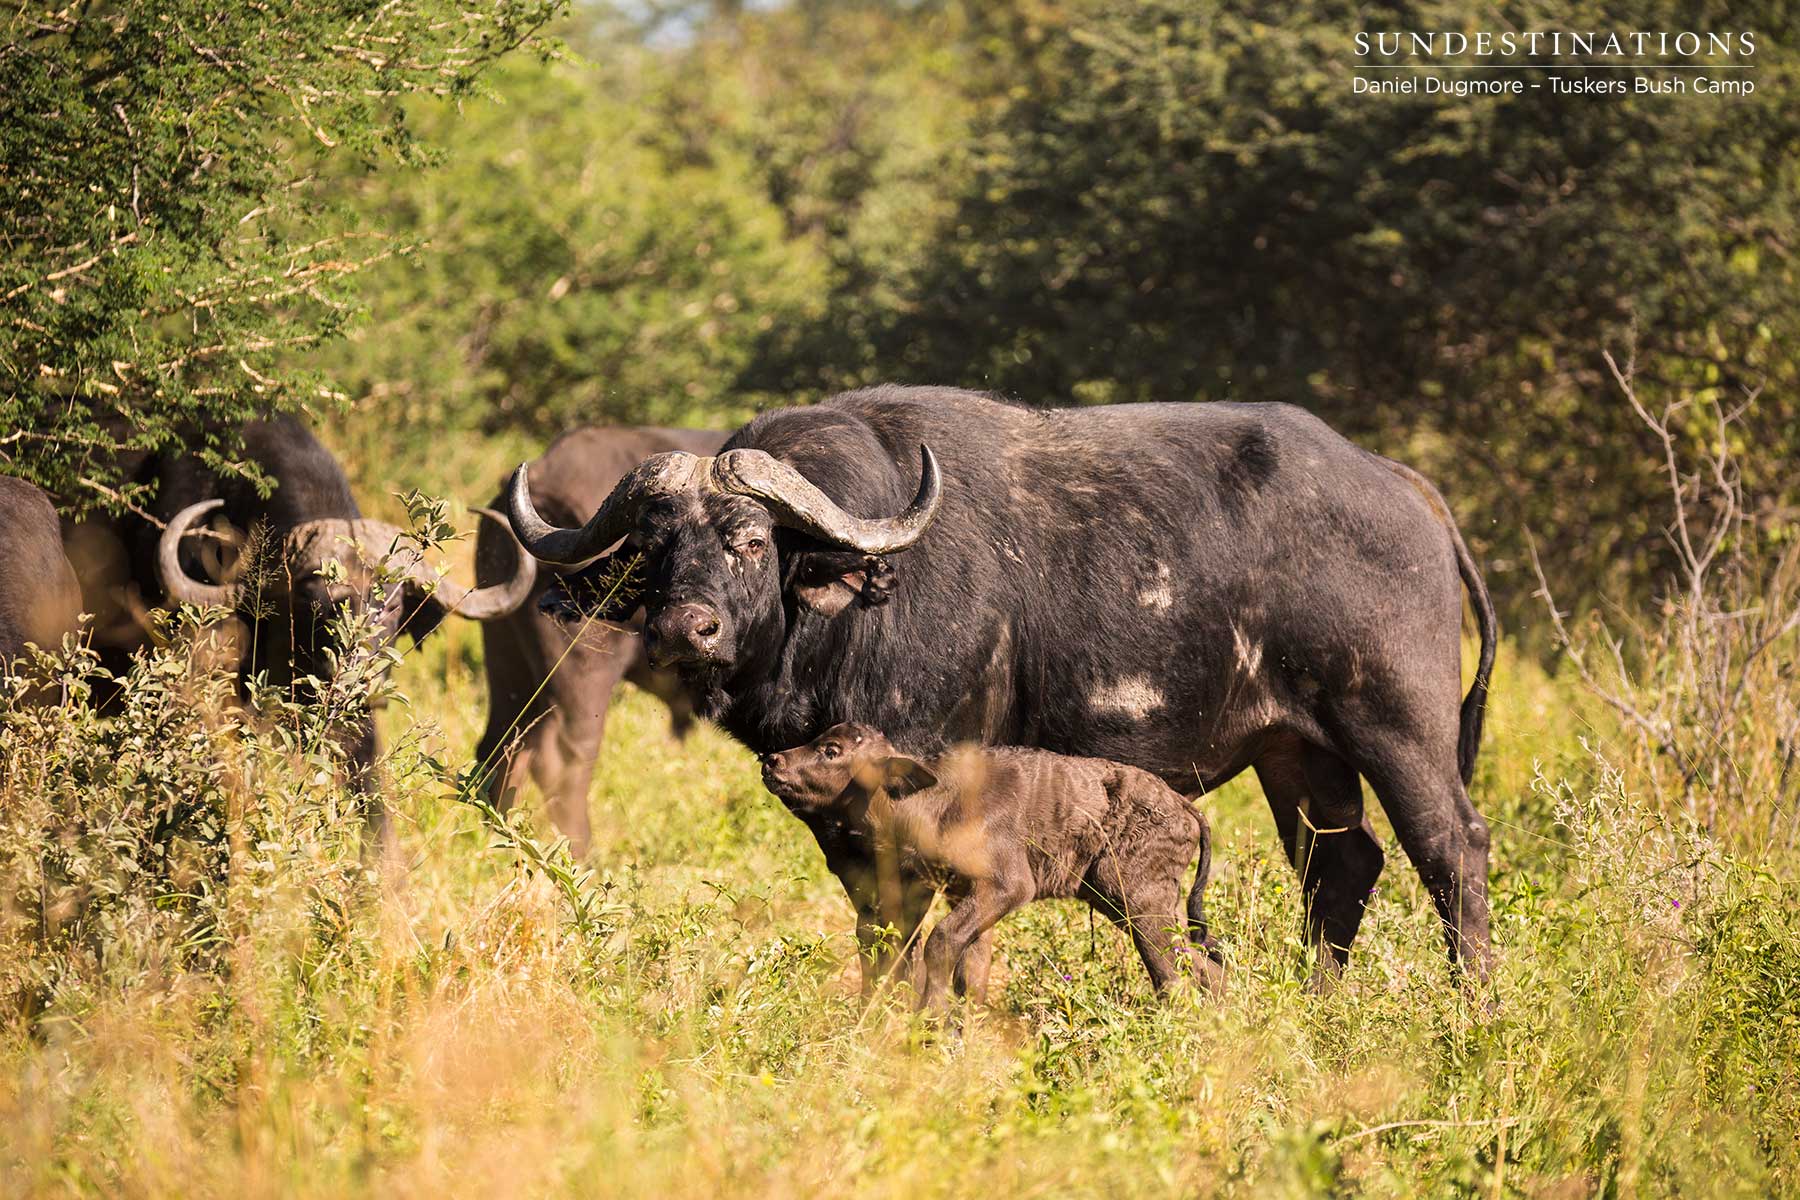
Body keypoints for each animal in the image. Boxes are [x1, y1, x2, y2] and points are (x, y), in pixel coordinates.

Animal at [509, 387, 1497, 984]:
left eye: (750, 540)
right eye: (653, 546)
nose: (685, 630)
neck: (855, 607)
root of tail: (1401, 484)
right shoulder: (846, 827)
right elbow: (875, 921)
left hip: (1397, 727)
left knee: (1452, 848)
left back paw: (1473, 1005)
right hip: (1295, 750)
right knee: (1342, 861)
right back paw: (1315, 995)